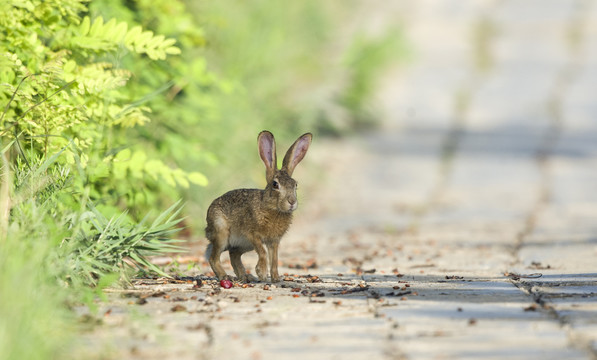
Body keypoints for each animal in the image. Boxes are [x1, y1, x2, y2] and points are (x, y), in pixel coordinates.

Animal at [205, 131, 312, 282]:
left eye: (295, 184)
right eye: (275, 184)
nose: (292, 201)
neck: (272, 208)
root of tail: (207, 229)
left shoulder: (274, 241)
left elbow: (275, 259)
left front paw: (275, 278)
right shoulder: (253, 235)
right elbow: (262, 252)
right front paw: (261, 273)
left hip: (243, 245)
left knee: (234, 255)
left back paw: (246, 276)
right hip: (222, 233)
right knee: (214, 258)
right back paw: (225, 276)